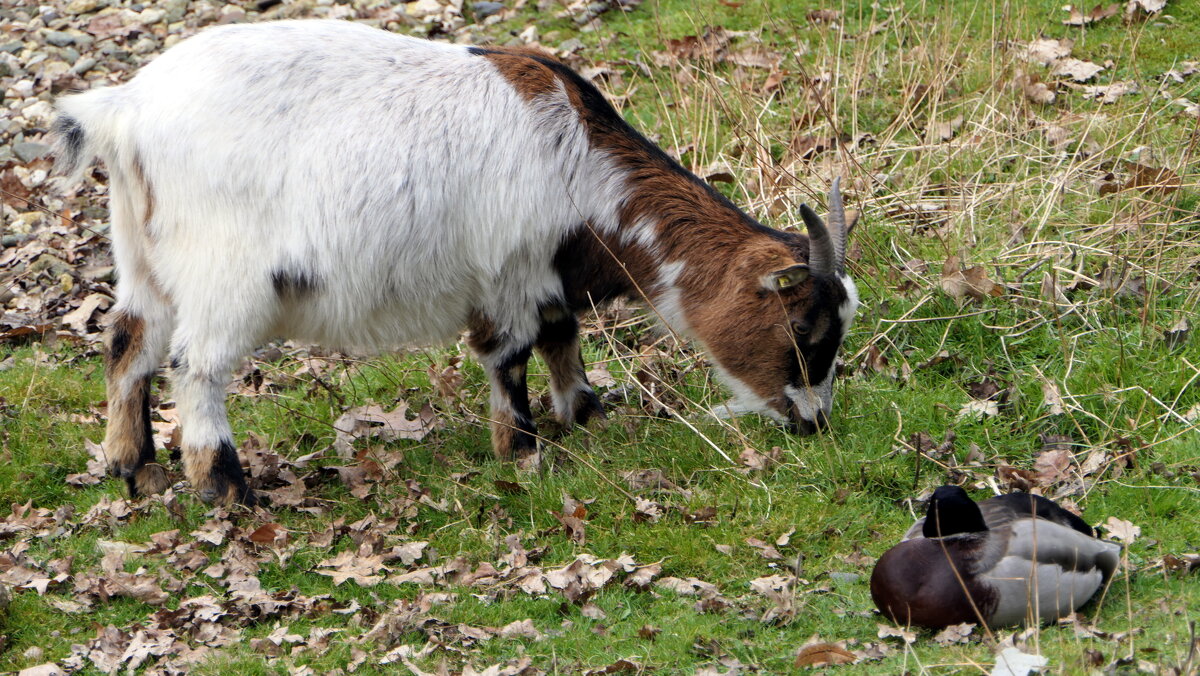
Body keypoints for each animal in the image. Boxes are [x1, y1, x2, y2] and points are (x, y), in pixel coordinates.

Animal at [56, 18, 859, 504]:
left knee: (127, 340)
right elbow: (511, 354)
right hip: (225, 273)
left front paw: (584, 413)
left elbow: (562, 335)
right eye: (807, 329)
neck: (577, 157)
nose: (815, 424)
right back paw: (224, 484)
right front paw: (522, 448)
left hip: (141, 255)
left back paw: (130, 463)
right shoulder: (509, 269)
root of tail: (125, 111)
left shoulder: (544, 275)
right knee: (197, 364)